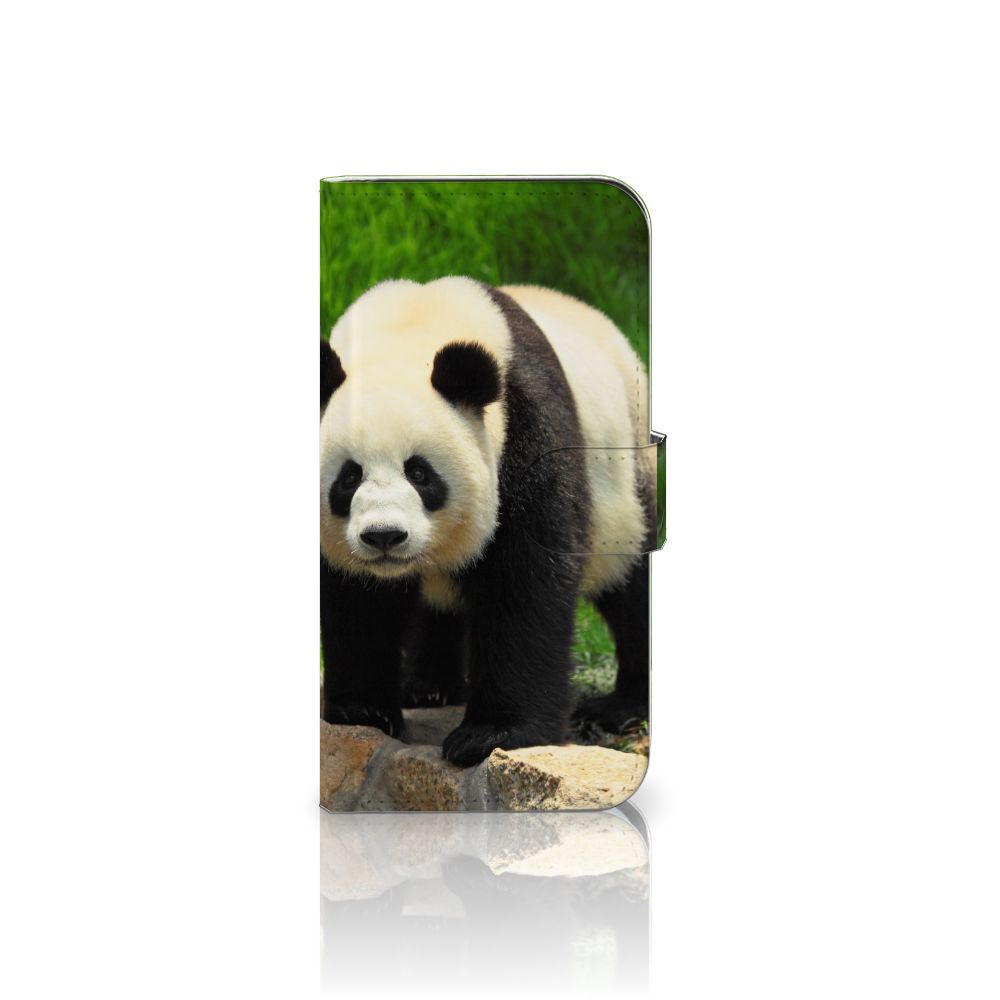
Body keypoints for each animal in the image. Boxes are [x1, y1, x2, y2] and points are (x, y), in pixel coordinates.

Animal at [320, 276, 654, 766]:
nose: (384, 537)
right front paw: (362, 710)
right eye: (348, 477)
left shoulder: (526, 428)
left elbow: (524, 581)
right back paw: (429, 687)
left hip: (625, 479)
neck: (409, 330)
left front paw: (492, 734)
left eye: (419, 473)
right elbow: (357, 597)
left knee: (630, 584)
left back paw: (621, 706)